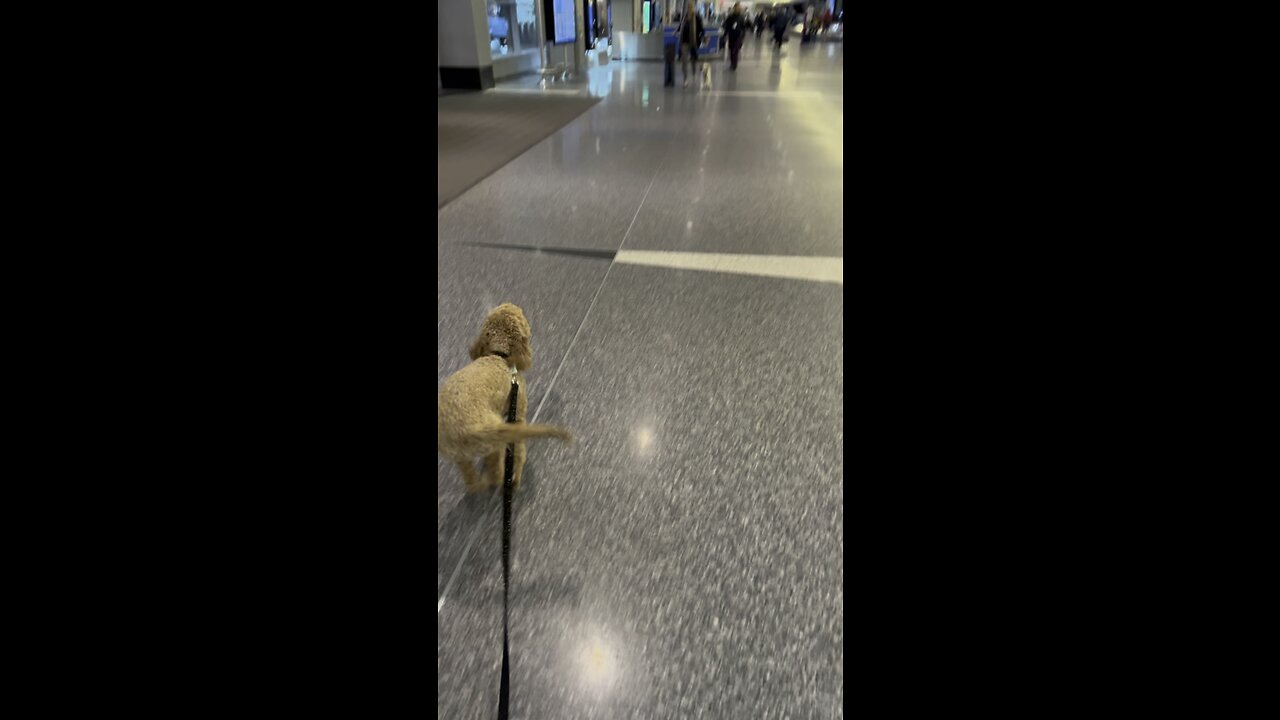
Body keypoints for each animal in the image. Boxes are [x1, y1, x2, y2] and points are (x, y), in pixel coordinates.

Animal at [440, 299, 570, 489]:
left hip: (460, 455)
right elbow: (519, 450)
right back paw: (505, 478)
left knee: (471, 478)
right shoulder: (518, 413)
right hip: (495, 441)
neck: (498, 355)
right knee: (498, 468)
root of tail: (467, 430)